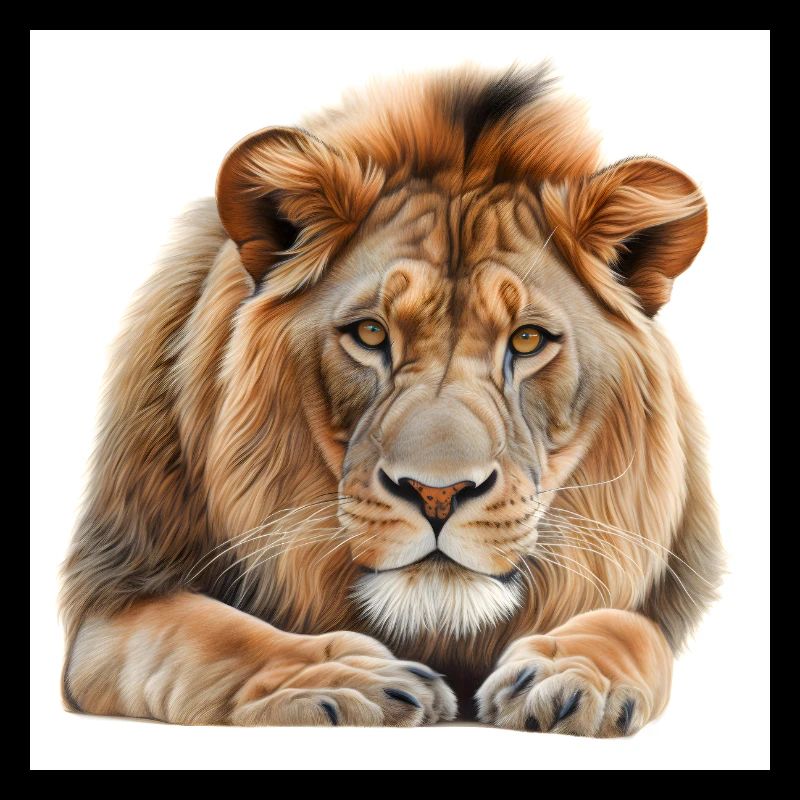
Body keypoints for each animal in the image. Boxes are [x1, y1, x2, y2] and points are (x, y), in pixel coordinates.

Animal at [61, 64, 724, 735]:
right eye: (371, 334)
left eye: (528, 340)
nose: (437, 494)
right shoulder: (114, 598)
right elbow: (220, 635)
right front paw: (345, 677)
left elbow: (631, 627)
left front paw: (572, 675)